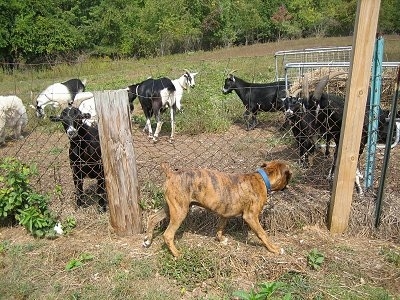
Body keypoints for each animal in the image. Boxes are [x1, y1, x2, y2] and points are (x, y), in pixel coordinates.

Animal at [143, 161, 290, 256]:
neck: (262, 178)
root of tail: (171, 173)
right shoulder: (251, 217)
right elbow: (263, 234)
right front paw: (274, 249)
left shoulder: (224, 213)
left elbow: (220, 227)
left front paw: (220, 239)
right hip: (180, 212)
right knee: (168, 235)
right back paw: (177, 254)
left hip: (171, 208)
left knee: (152, 218)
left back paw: (147, 240)